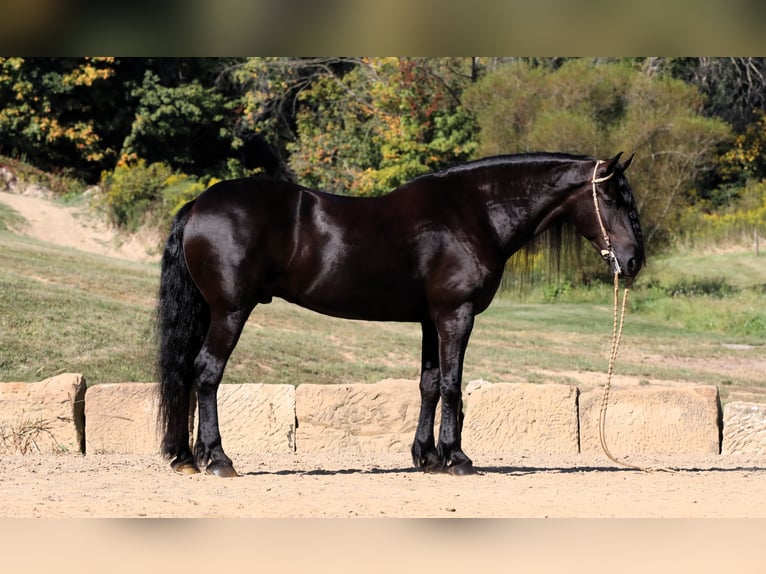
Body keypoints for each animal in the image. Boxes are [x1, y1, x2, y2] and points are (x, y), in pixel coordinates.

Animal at [159, 152, 644, 476]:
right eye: (613, 198)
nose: (634, 261)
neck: (472, 214)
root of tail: (199, 205)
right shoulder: (456, 315)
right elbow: (452, 385)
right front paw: (457, 458)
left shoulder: (431, 319)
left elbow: (429, 384)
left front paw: (426, 457)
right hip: (230, 311)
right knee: (207, 372)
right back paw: (217, 458)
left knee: (187, 371)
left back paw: (186, 457)